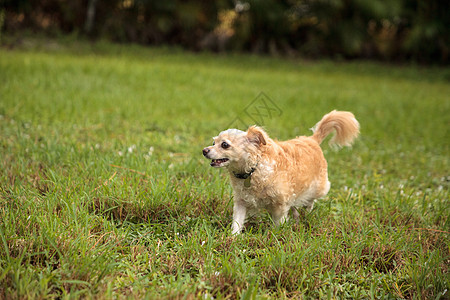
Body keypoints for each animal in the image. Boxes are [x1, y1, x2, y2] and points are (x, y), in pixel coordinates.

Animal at [203, 110, 358, 234]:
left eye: (225, 145)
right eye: (213, 143)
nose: (204, 150)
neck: (253, 170)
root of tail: (313, 139)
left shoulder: (280, 205)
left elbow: (279, 222)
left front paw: (276, 236)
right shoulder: (241, 202)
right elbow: (237, 222)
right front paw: (233, 238)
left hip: (318, 188)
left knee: (310, 201)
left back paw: (307, 212)